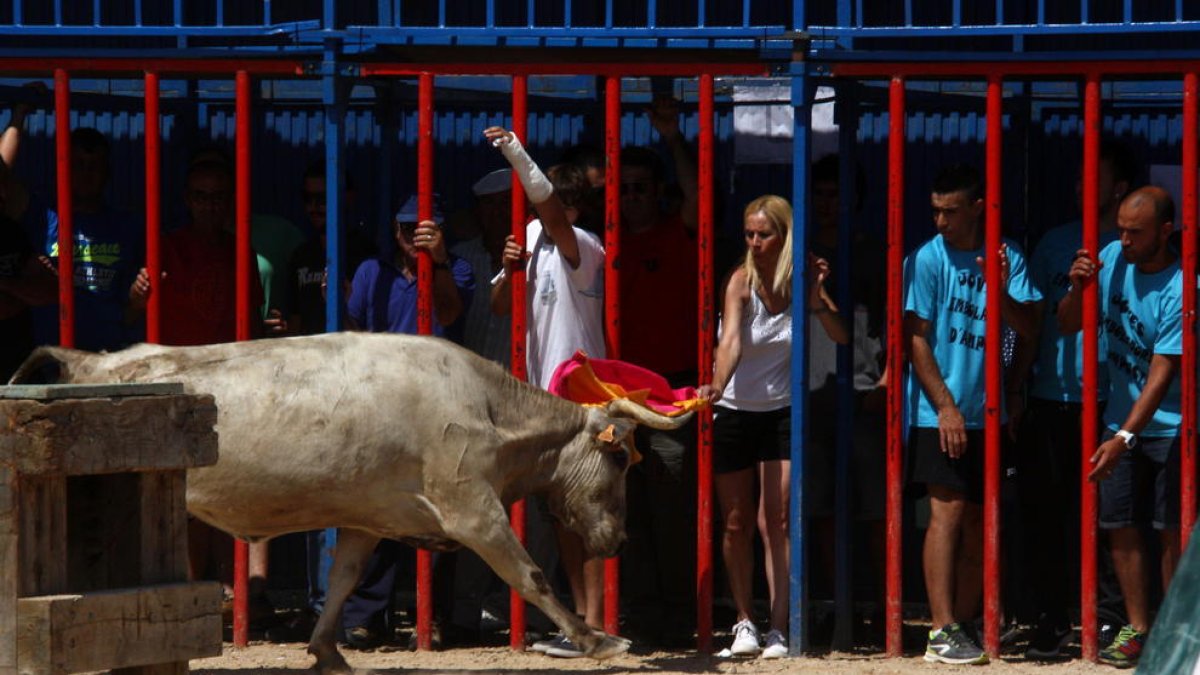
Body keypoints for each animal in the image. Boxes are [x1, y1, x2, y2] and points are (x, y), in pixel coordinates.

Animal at [9, 331, 691, 672]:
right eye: (620, 459)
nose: (619, 541)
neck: (490, 409)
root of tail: (92, 362)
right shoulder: (473, 509)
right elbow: (530, 575)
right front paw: (599, 640)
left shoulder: (369, 518)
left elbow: (344, 578)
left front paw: (326, 650)